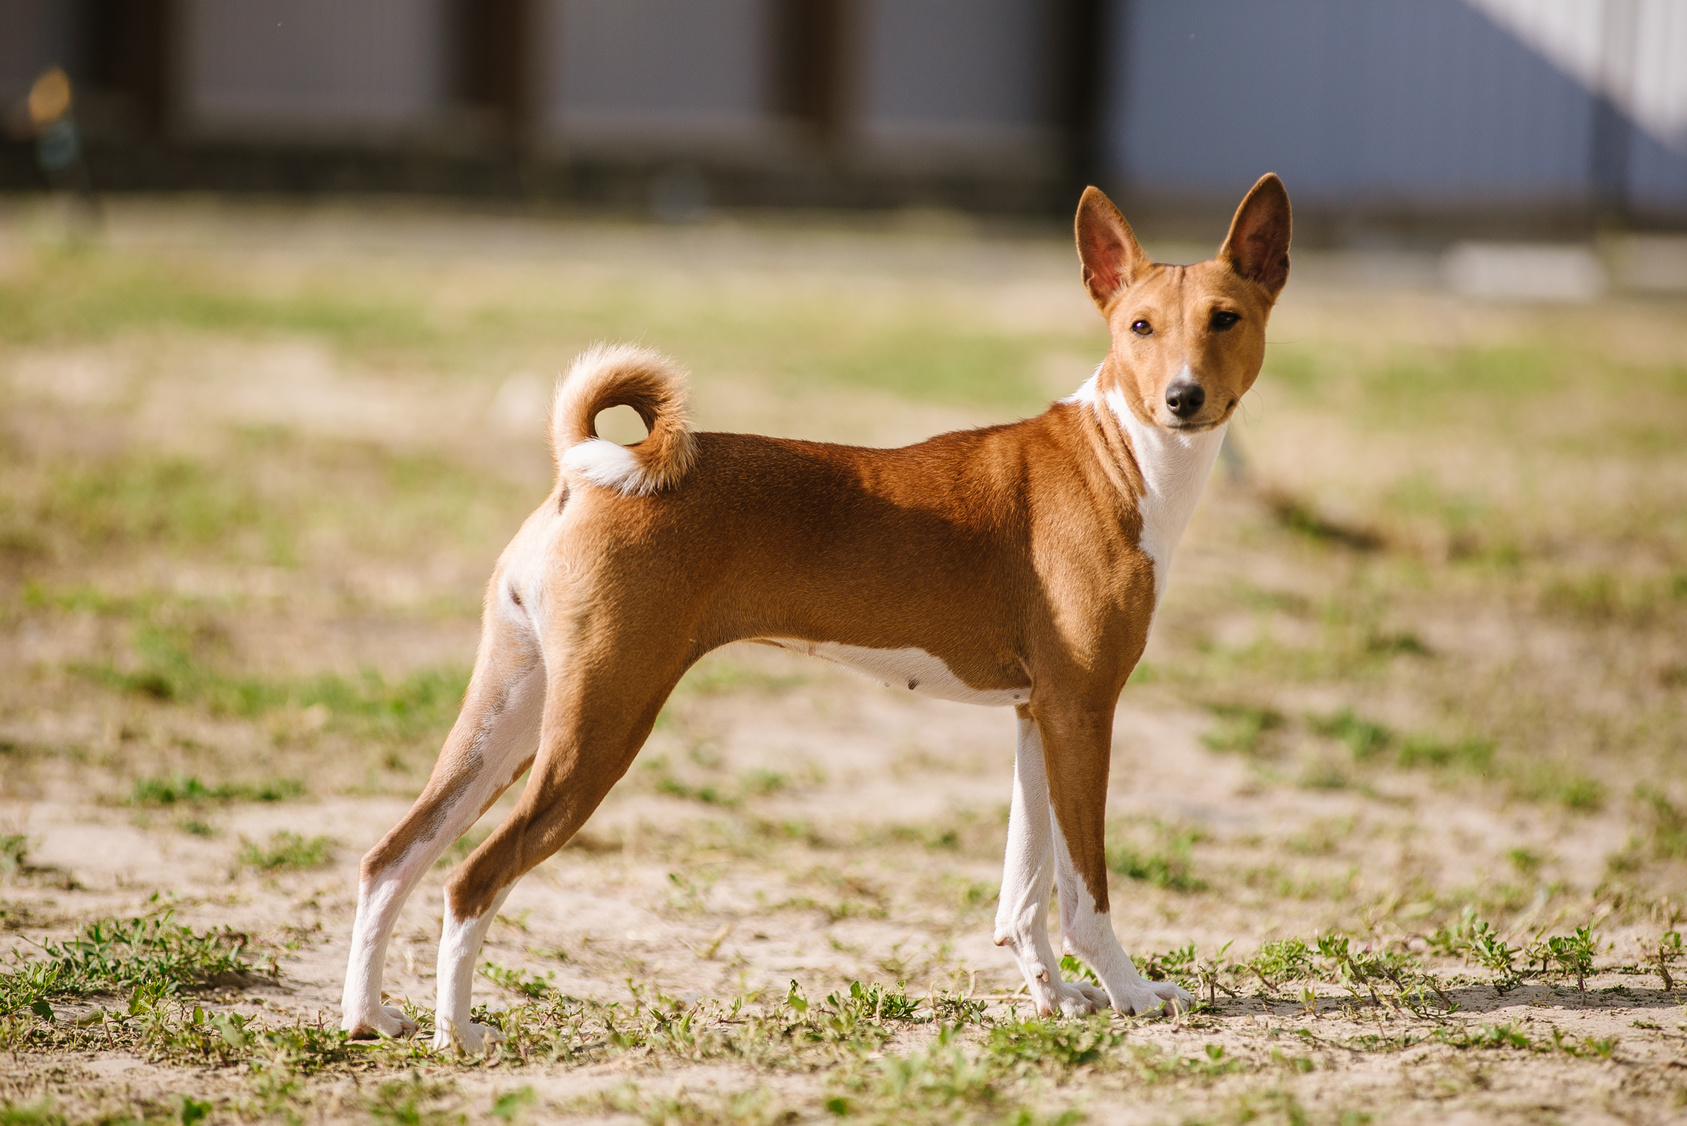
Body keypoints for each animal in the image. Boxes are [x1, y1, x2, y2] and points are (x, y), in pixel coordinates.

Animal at [339, 176, 1288, 1046]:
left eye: (1224, 320)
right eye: (1139, 328)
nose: (1182, 397)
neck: (1119, 457)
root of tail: (589, 472)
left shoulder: (1036, 714)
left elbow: (1022, 893)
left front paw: (1053, 999)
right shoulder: (1083, 711)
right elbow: (1085, 888)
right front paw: (1127, 992)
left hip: (511, 710)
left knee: (393, 856)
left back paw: (368, 1015)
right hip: (600, 726)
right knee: (472, 877)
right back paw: (458, 1035)